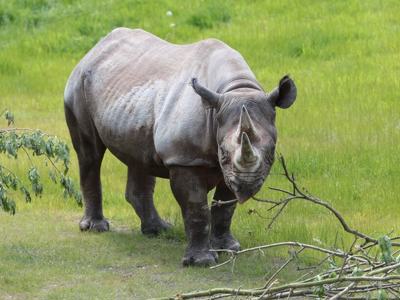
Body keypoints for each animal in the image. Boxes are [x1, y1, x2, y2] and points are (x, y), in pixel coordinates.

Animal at [65, 28, 296, 266]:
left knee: (139, 156)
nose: (247, 186)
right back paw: (96, 228)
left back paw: (158, 230)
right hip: (80, 83)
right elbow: (196, 208)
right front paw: (202, 261)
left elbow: (225, 206)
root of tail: (95, 48)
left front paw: (229, 248)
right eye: (223, 153)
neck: (237, 89)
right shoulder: (184, 159)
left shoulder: (229, 171)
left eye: (271, 152)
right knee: (90, 153)